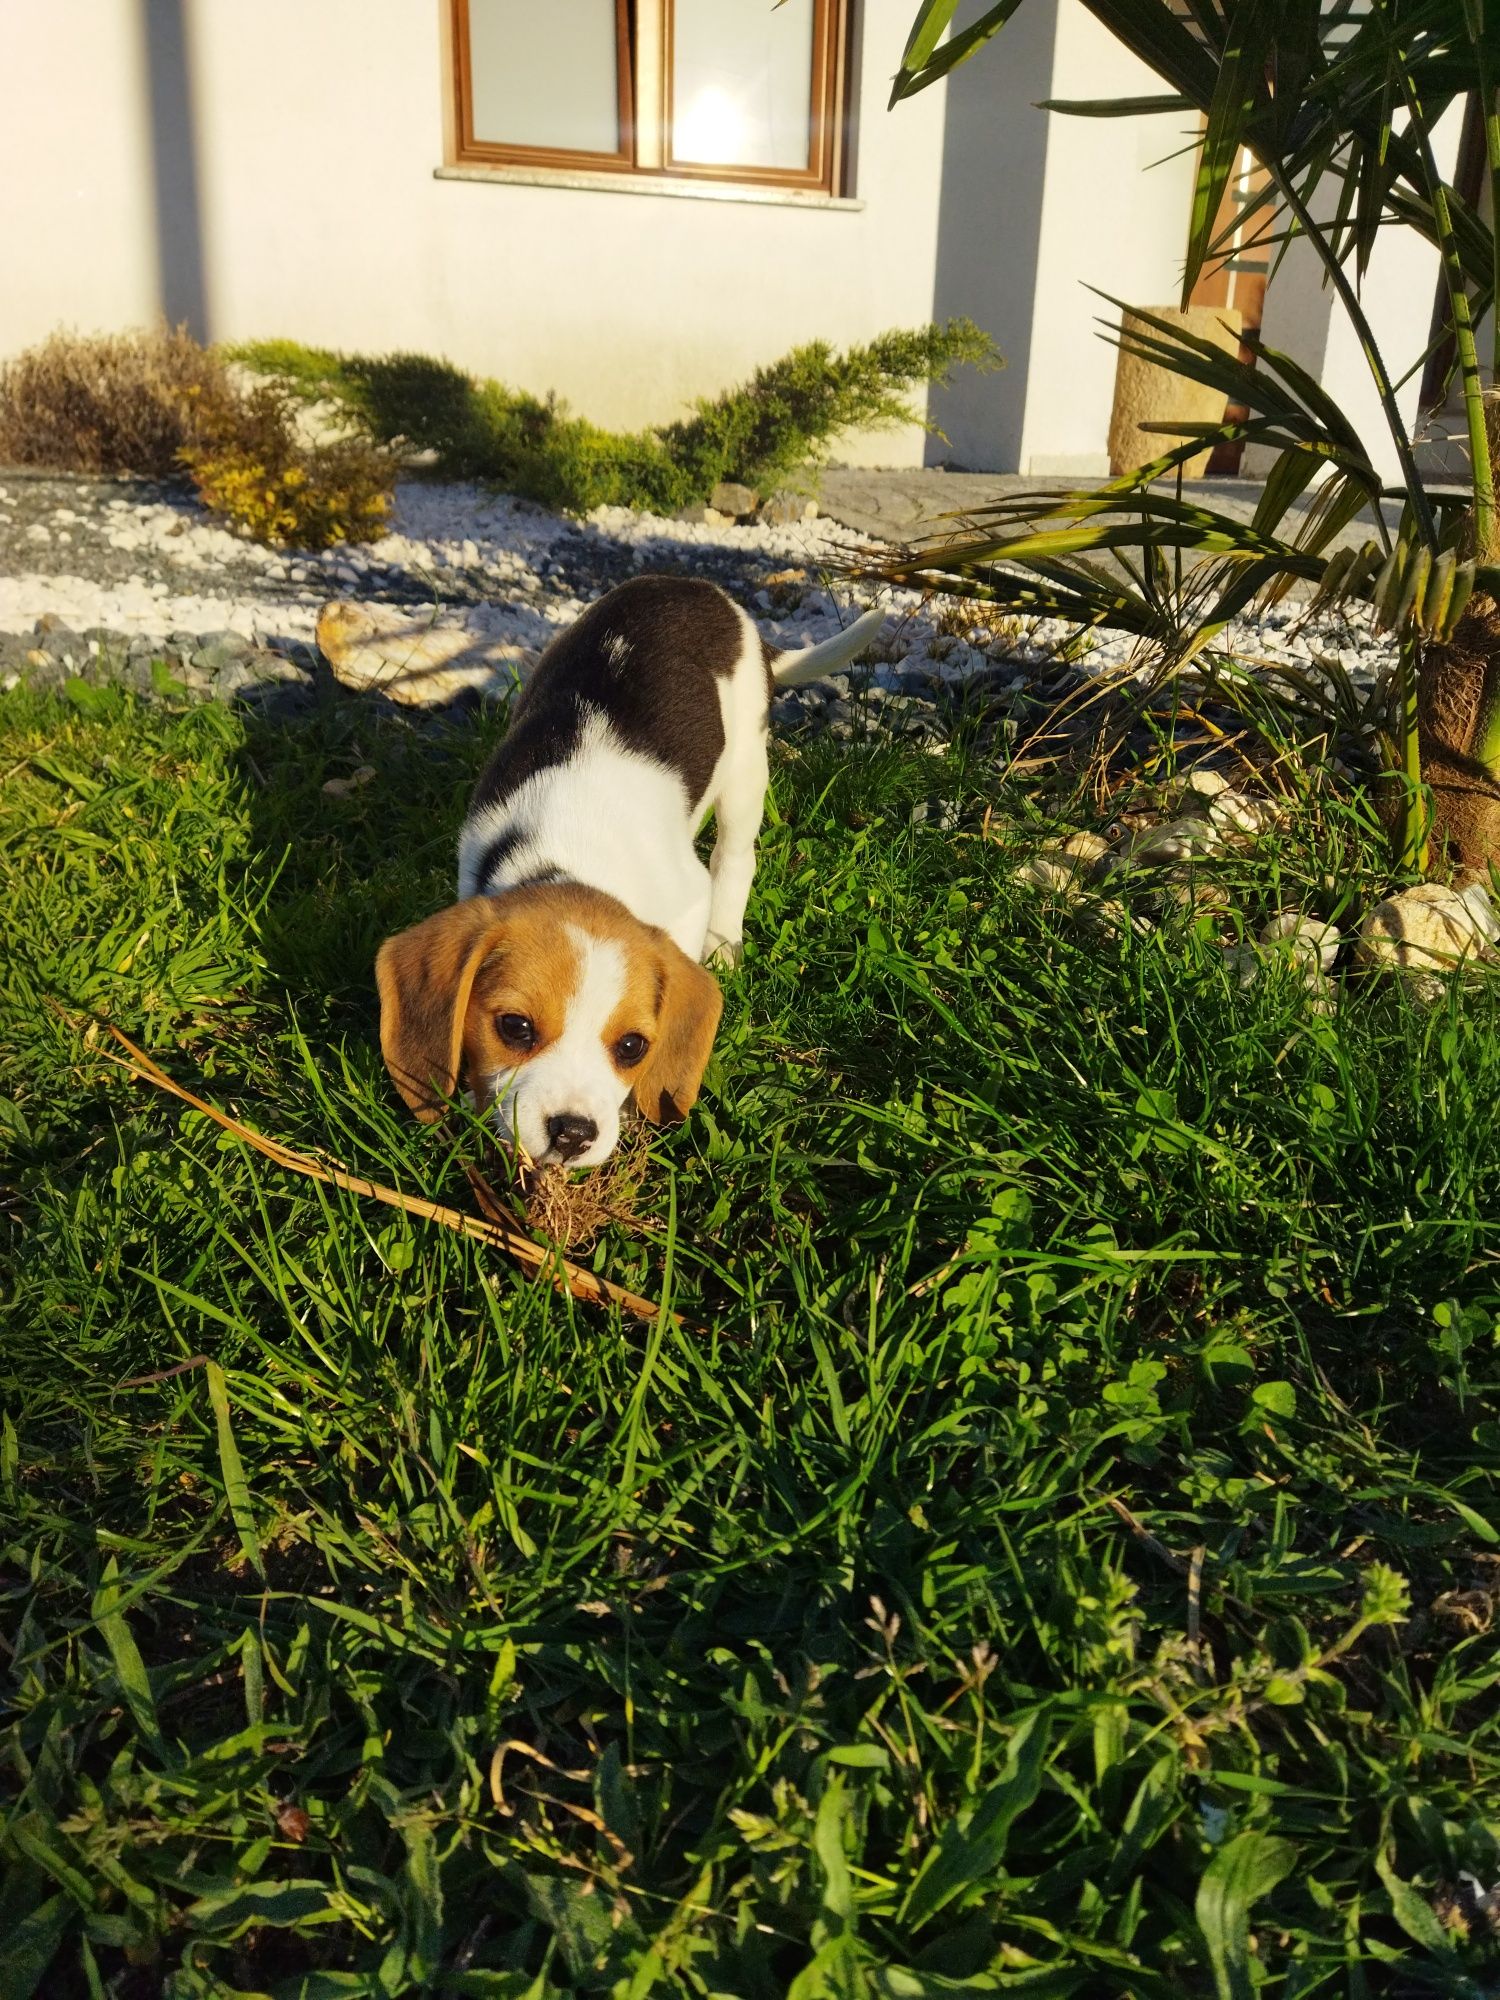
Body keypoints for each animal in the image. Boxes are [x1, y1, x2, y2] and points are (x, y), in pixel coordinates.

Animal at [376, 580, 888, 1168]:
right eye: (515, 1028)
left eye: (632, 1047)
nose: (573, 1134)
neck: (571, 854)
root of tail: (699, 589)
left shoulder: (687, 897)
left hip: (745, 766)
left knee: (736, 858)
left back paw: (724, 945)